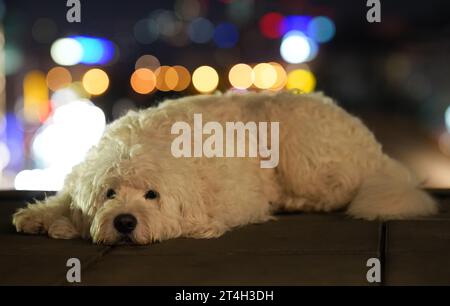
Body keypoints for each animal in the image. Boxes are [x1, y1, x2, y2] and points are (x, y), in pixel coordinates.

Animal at [12, 91, 438, 244]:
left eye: (152, 195)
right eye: (109, 193)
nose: (125, 222)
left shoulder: (236, 199)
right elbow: (62, 199)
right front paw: (42, 216)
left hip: (297, 143)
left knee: (337, 190)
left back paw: (298, 202)